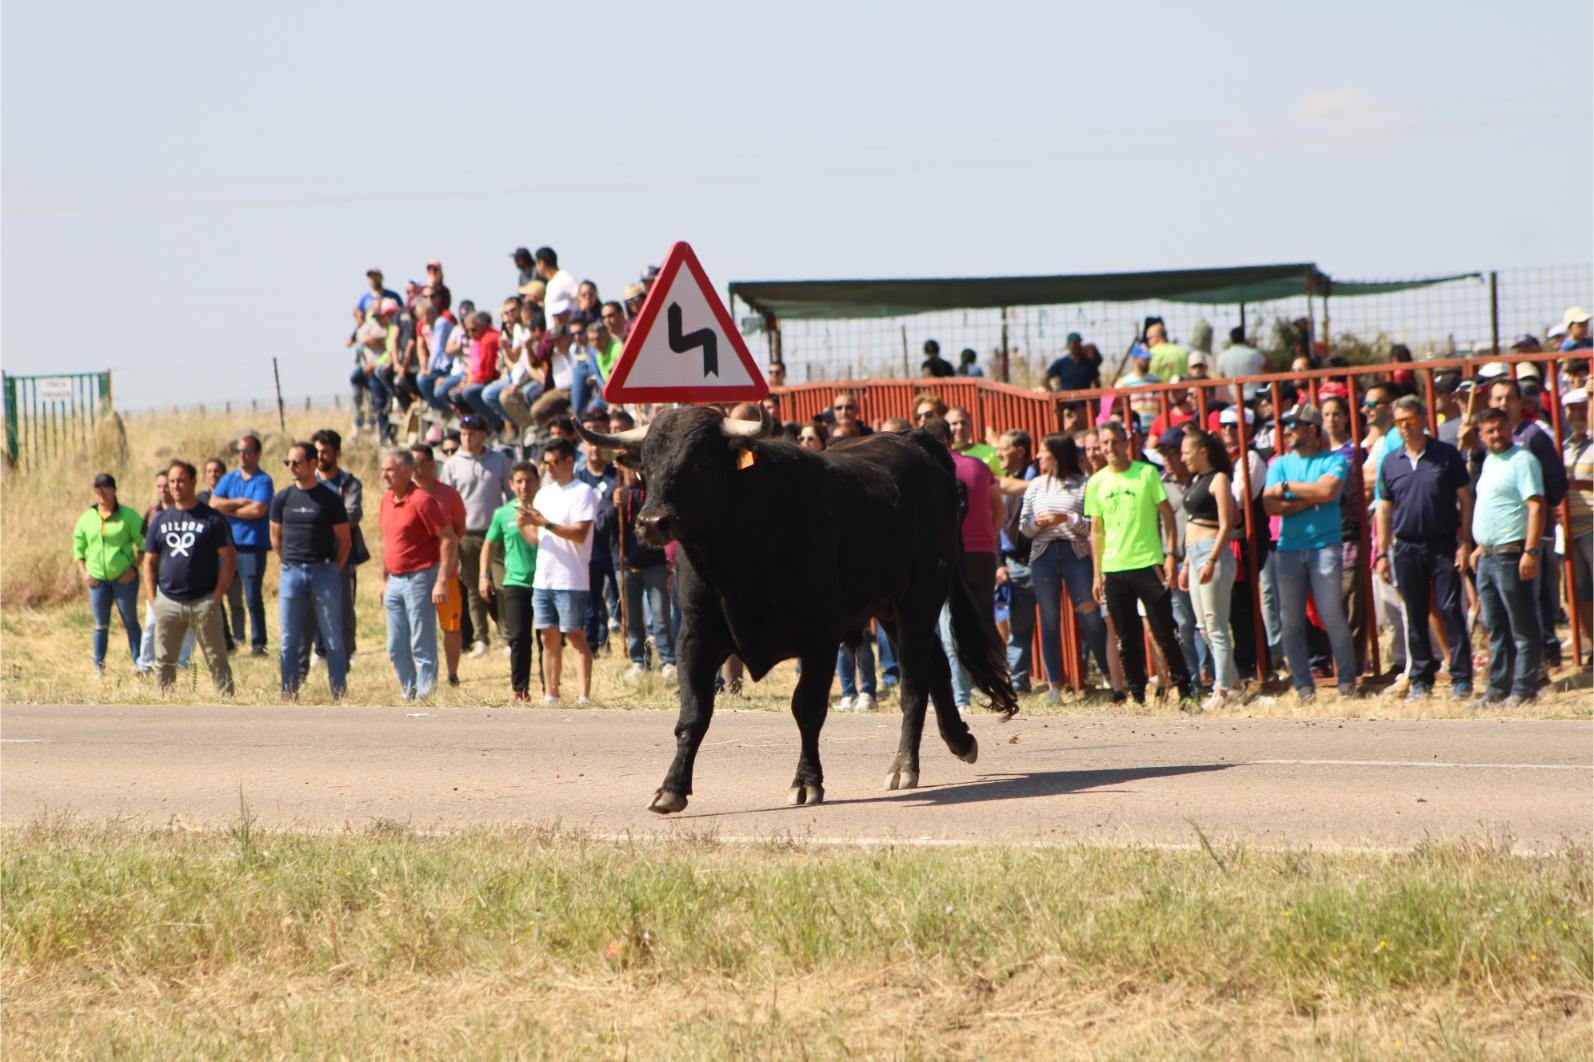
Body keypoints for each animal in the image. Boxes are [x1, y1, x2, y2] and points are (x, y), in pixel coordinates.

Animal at [580, 405, 1013, 810]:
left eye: (699, 460)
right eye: (646, 465)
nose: (652, 522)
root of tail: (914, 438)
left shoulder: (821, 637)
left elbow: (807, 708)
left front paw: (806, 782)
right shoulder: (695, 639)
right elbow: (693, 714)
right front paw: (671, 788)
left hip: (920, 599)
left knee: (914, 682)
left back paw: (904, 765)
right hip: (891, 607)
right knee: (935, 665)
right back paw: (959, 740)